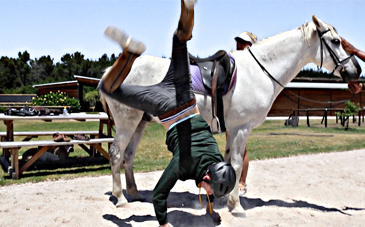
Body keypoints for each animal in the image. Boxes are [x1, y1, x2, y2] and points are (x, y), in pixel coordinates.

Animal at [98, 15, 360, 215]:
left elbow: (229, 162)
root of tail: (108, 74)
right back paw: (121, 198)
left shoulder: (232, 130)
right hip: (127, 122)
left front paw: (224, 200)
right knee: (117, 153)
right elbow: (235, 162)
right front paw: (236, 206)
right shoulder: (241, 128)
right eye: (336, 41)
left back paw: (134, 193)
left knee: (128, 156)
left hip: (140, 123)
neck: (258, 71)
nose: (356, 70)